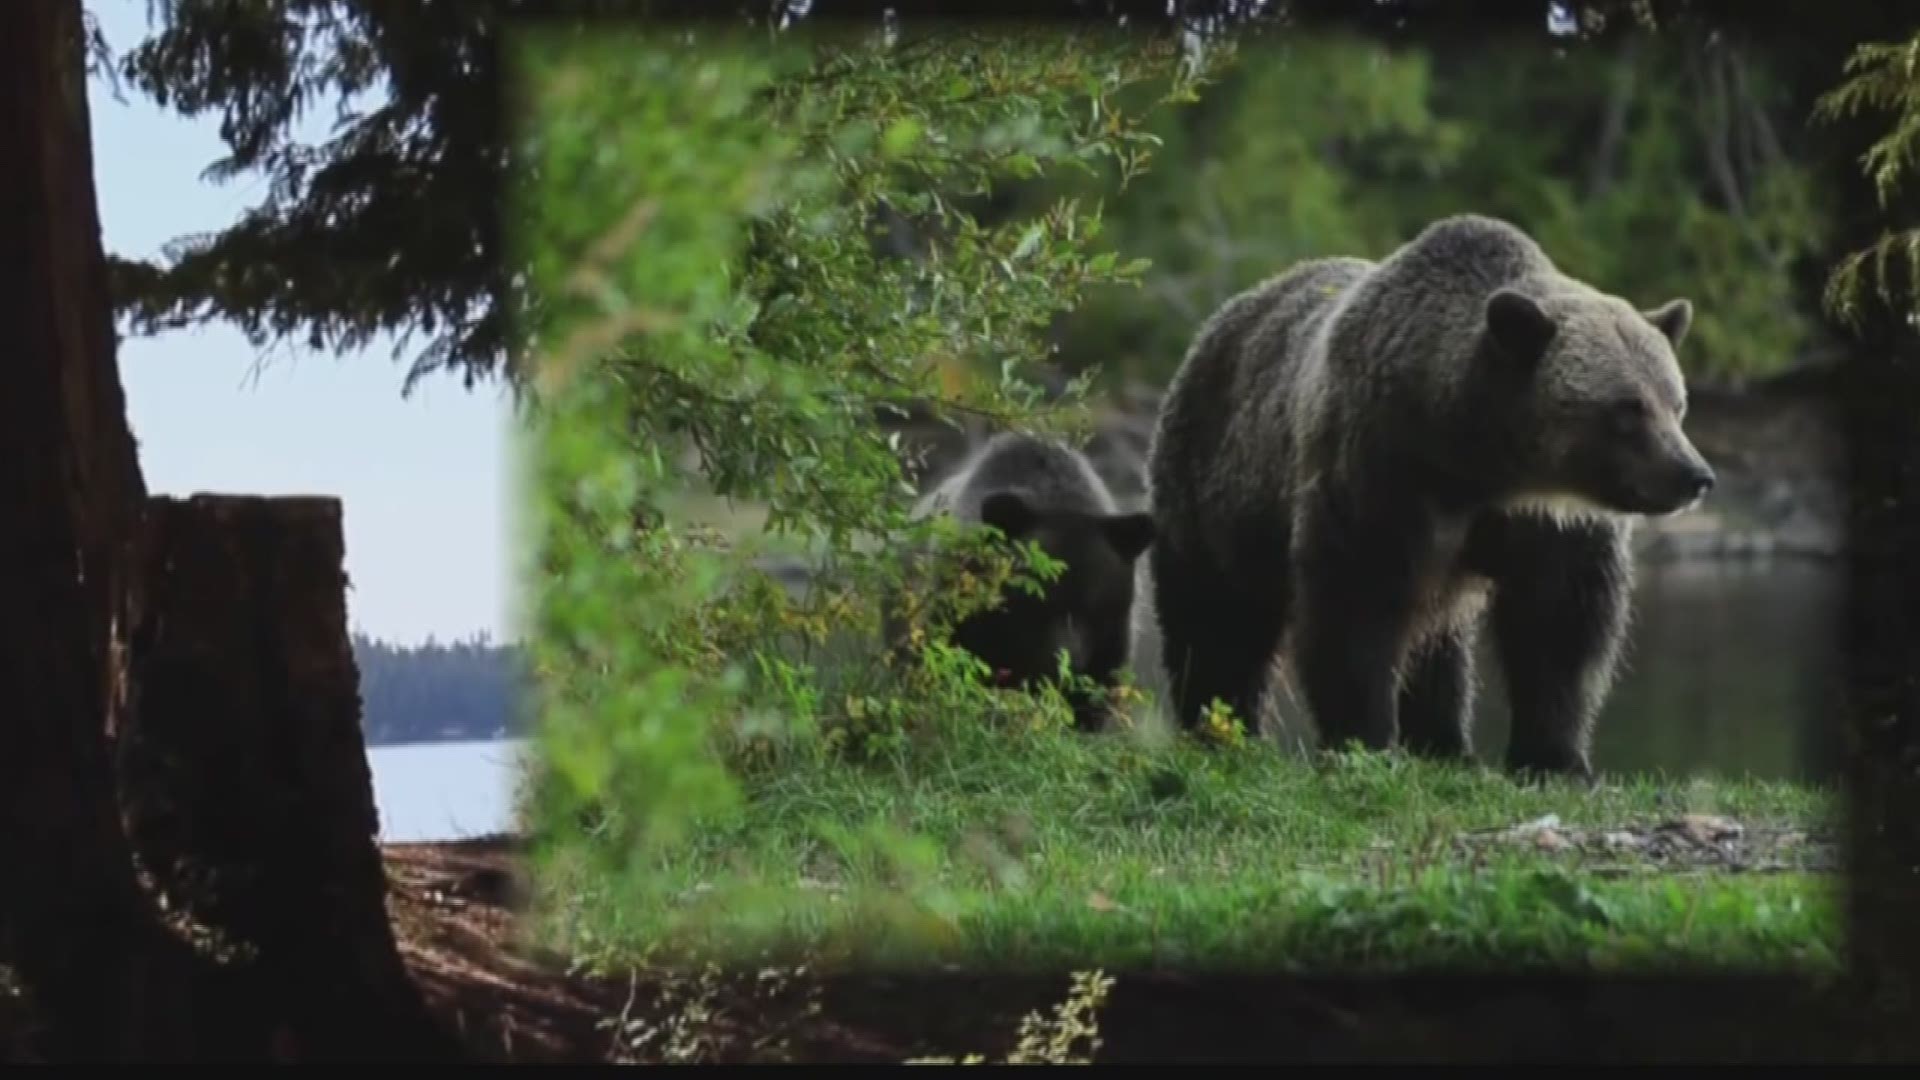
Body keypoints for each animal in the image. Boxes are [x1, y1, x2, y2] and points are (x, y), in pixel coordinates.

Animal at [1144, 216, 1720, 772]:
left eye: (1676, 402)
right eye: (1627, 409)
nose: (1694, 474)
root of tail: (1227, 315)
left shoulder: (1552, 522)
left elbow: (1559, 624)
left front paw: (1555, 759)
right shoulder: (1380, 475)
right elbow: (1355, 604)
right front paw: (1365, 742)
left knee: (1438, 645)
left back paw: (1444, 744)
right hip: (1216, 485)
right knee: (1215, 615)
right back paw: (1222, 730)